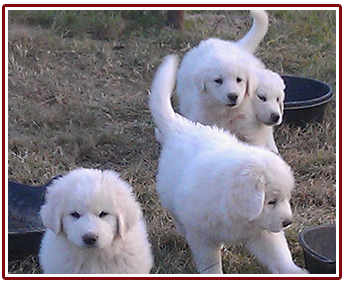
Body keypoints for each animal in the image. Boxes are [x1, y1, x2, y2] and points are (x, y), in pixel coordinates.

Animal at [149, 54, 306, 274]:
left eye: (286, 199)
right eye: (271, 201)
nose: (288, 222)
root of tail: (180, 128)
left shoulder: (264, 232)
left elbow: (279, 254)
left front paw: (294, 271)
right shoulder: (202, 236)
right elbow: (210, 263)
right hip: (168, 195)